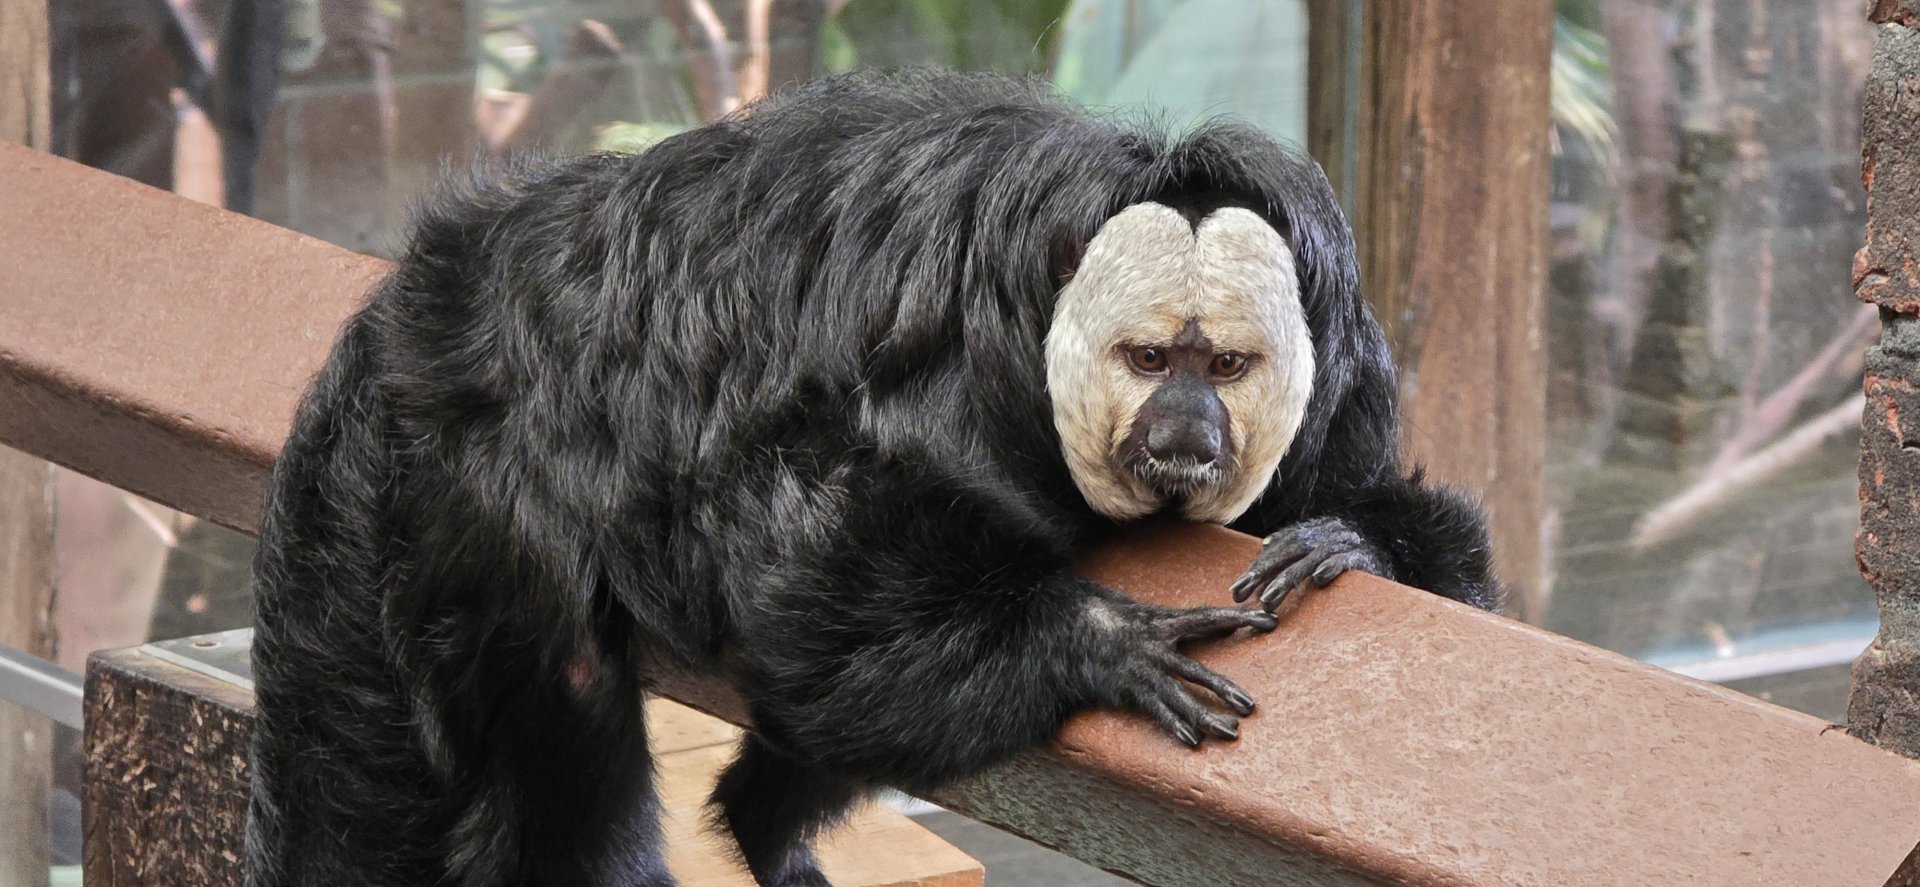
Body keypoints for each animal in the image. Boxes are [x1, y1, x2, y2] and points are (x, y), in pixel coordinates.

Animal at [244, 68, 1499, 887]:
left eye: (1225, 367)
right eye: (1152, 360)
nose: (1188, 430)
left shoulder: (1342, 381)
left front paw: (1352, 543)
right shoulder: (944, 373)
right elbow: (813, 580)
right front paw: (1092, 640)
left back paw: (764, 824)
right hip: (421, 488)